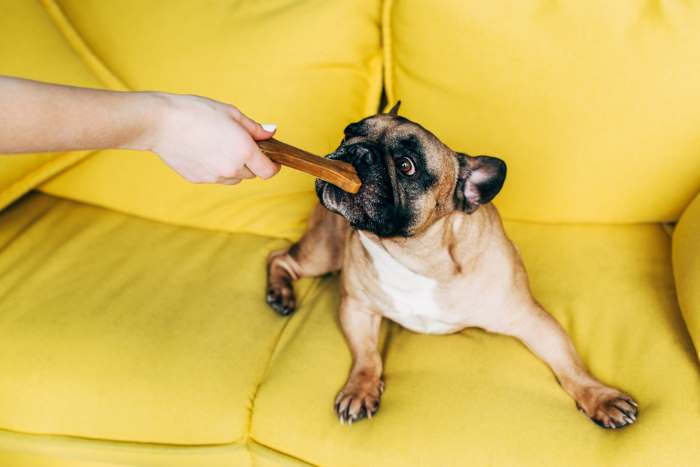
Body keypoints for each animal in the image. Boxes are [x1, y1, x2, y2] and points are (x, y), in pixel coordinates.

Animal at [266, 104, 636, 430]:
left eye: (407, 166)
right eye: (348, 133)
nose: (356, 151)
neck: (414, 257)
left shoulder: (530, 319)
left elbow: (570, 365)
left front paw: (601, 398)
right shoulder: (357, 307)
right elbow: (366, 355)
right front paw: (360, 388)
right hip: (324, 252)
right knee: (280, 258)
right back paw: (280, 294)